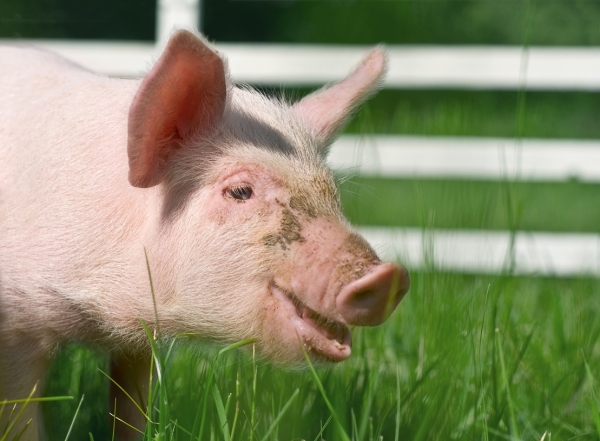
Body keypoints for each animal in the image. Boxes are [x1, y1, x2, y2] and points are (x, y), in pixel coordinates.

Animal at [0, 29, 408, 438]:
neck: (99, 311)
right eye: (240, 191)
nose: (389, 276)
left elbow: (132, 409)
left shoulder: (138, 342)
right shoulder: (19, 329)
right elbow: (21, 417)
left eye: (331, 191)